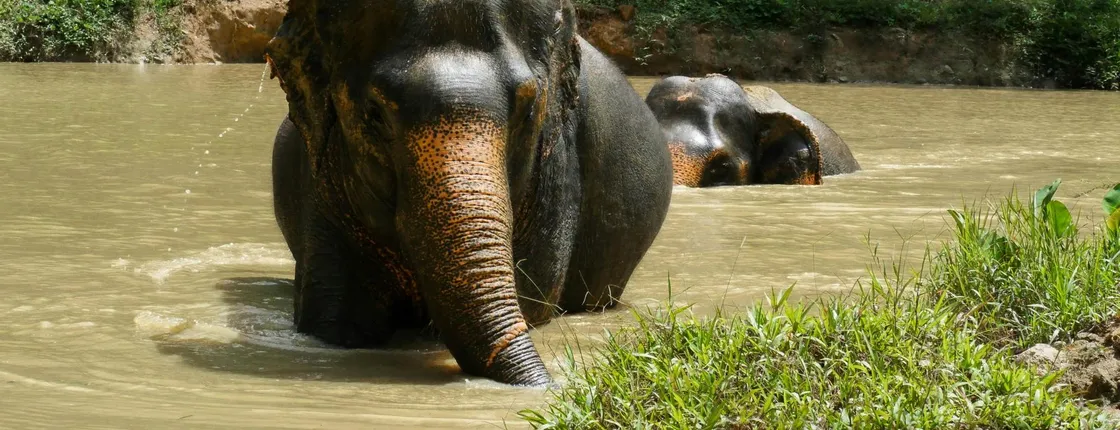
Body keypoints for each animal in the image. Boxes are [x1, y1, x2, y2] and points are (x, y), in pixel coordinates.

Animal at [263, 0, 673, 386]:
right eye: (376, 114)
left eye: (527, 109)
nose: (551, 384)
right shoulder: (320, 181)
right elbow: (335, 320)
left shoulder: (557, 175)